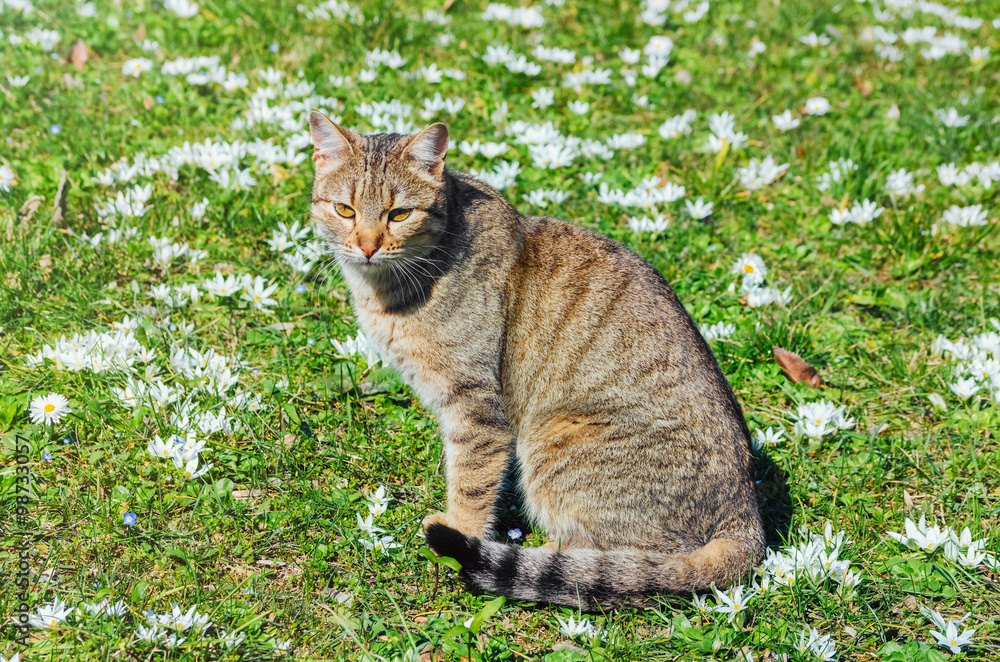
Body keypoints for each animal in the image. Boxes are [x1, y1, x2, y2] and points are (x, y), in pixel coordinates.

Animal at [308, 110, 760, 612]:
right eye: (345, 210)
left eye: (399, 214)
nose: (367, 246)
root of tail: (746, 519)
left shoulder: (477, 408)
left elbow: (471, 484)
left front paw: (457, 534)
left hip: (554, 439)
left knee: (627, 564)